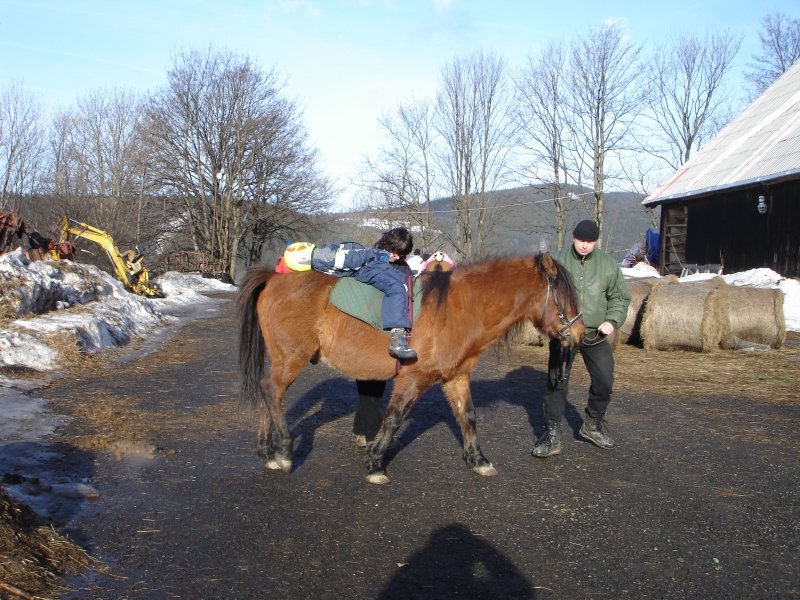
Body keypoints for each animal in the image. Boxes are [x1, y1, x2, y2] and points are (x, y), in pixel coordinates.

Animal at [238, 252, 580, 482]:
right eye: (563, 296)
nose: (578, 334)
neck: (459, 307)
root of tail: (274, 277)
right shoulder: (415, 377)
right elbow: (394, 418)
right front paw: (375, 463)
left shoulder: (456, 376)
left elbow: (467, 417)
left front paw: (478, 460)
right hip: (291, 357)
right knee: (272, 391)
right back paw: (283, 452)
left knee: (268, 392)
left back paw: (267, 452)